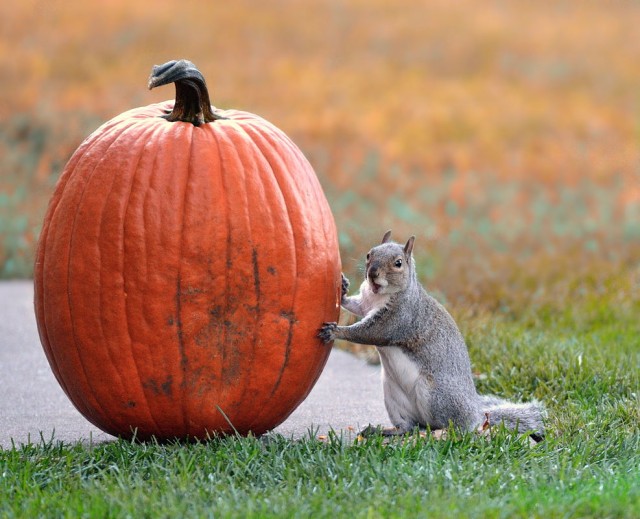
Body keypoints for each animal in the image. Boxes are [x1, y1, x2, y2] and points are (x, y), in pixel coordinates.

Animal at [318, 233, 544, 442]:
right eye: (369, 254)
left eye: (398, 263)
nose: (372, 273)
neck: (379, 295)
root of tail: (478, 416)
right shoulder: (366, 302)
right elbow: (356, 306)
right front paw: (343, 287)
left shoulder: (399, 319)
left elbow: (368, 333)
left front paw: (336, 331)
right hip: (393, 396)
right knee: (407, 426)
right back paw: (382, 430)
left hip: (435, 395)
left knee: (454, 426)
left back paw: (441, 432)